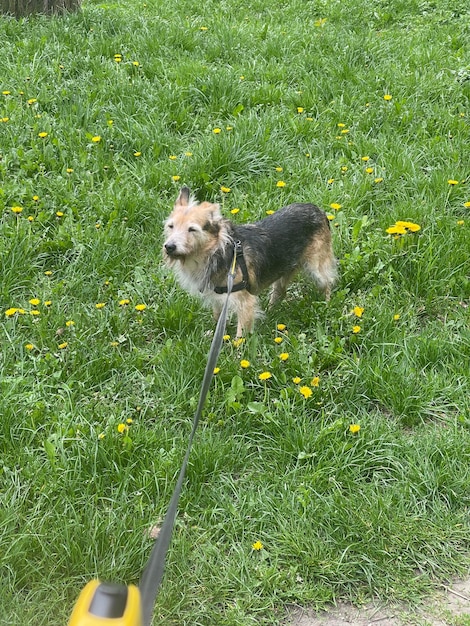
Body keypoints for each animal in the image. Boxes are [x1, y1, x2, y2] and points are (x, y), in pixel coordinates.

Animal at [163, 186, 336, 336]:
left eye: (192, 229)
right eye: (171, 226)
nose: (169, 246)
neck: (216, 252)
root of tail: (317, 209)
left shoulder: (244, 303)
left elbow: (240, 336)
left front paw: (236, 353)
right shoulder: (217, 299)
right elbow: (217, 318)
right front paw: (213, 333)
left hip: (316, 267)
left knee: (327, 282)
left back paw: (327, 306)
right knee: (279, 290)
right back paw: (272, 311)